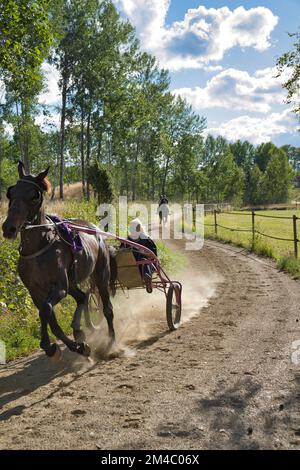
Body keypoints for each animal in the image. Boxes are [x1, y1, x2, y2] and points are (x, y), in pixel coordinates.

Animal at [2, 163, 117, 362]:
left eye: (34, 195)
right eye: (11, 192)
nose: (9, 228)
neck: (40, 246)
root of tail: (95, 229)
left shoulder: (59, 288)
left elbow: (46, 311)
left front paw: (50, 346)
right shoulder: (36, 291)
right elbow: (51, 319)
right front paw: (76, 346)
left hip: (100, 273)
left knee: (107, 308)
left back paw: (110, 341)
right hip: (72, 282)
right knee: (82, 297)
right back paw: (78, 330)